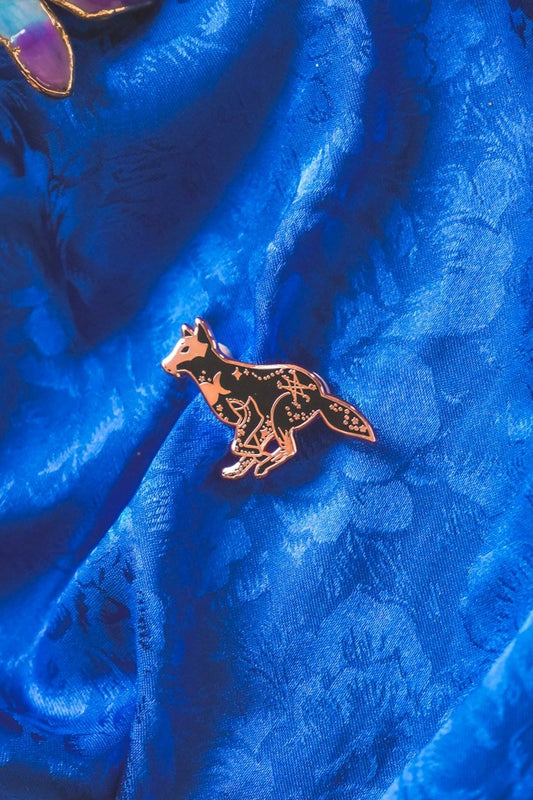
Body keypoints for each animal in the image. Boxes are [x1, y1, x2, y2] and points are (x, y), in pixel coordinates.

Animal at [162, 319, 375, 479]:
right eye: (177, 347)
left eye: (185, 349)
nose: (165, 365)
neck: (215, 377)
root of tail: (320, 394)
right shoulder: (254, 424)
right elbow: (242, 444)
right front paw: (240, 467)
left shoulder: (252, 414)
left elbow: (238, 445)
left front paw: (257, 456)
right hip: (274, 422)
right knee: (286, 447)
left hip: (279, 414)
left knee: (290, 448)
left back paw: (264, 464)